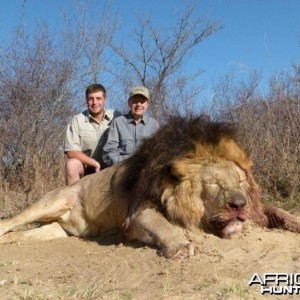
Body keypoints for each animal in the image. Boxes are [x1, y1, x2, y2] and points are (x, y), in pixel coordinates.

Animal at [0, 115, 300, 258]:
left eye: (240, 182)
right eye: (214, 183)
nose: (239, 205)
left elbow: (276, 211)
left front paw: (294, 221)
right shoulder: (137, 213)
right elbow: (162, 226)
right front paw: (182, 246)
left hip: (57, 230)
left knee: (25, 234)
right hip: (51, 201)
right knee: (11, 221)